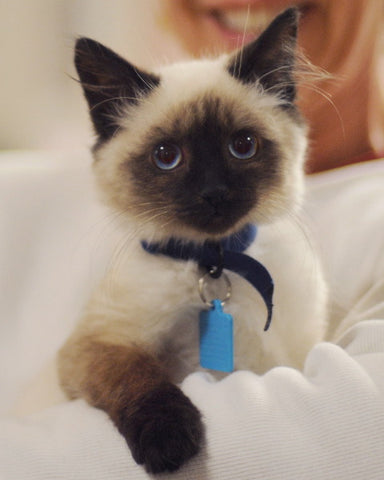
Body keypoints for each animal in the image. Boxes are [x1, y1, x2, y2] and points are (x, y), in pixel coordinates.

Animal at [57, 9, 328, 474]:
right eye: (167, 156)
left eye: (243, 146)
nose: (213, 193)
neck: (213, 261)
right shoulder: (99, 343)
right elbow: (143, 380)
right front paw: (170, 445)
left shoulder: (284, 361)